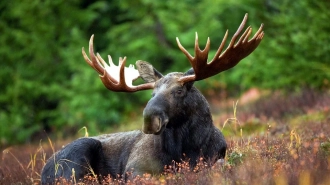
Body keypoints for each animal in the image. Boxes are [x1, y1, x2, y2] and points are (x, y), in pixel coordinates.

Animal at [41, 14, 264, 184]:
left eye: (179, 91)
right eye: (152, 93)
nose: (149, 119)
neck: (186, 149)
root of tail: (44, 171)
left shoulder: (216, 157)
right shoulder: (135, 168)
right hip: (77, 155)